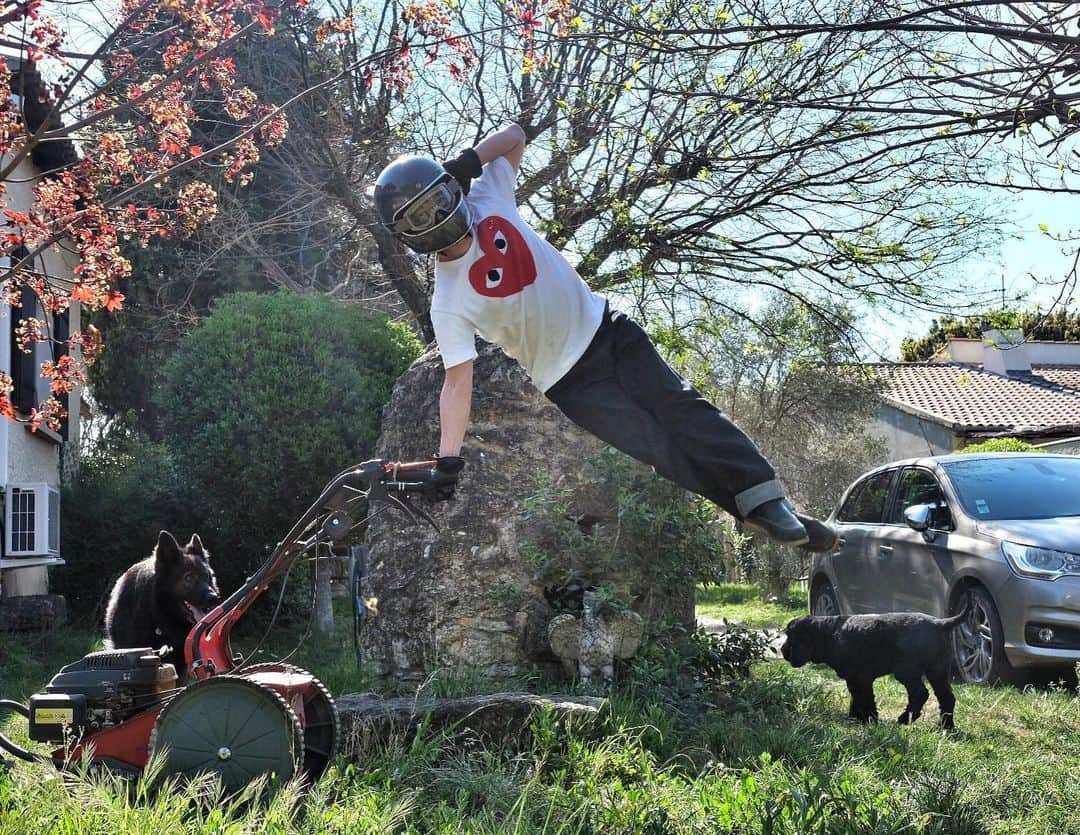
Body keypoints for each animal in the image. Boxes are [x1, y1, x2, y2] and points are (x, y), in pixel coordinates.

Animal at [781, 600, 967, 730]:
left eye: (790, 637)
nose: (782, 651)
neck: (829, 633)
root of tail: (939, 623)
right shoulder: (857, 679)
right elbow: (857, 698)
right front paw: (855, 718)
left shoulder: (859, 678)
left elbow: (864, 698)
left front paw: (868, 719)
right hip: (937, 671)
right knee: (946, 697)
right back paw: (946, 727)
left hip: (907, 671)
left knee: (920, 694)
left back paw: (904, 719)